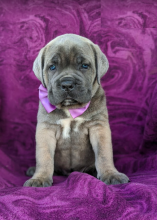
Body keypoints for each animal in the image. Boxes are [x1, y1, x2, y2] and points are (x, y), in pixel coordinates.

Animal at [23, 33, 129, 186]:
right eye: (52, 67)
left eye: (84, 66)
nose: (67, 84)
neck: (71, 108)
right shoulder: (46, 129)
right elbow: (44, 156)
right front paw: (40, 178)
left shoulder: (99, 127)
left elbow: (104, 153)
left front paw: (111, 174)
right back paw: (33, 170)